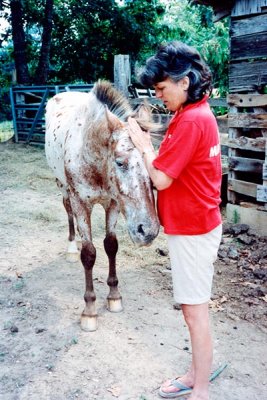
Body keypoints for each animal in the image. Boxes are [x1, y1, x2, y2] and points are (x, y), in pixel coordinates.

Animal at [45, 79, 160, 330]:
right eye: (120, 162)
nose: (148, 231)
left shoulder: (113, 203)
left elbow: (111, 245)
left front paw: (114, 296)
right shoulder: (80, 203)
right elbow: (89, 254)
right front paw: (89, 310)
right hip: (63, 187)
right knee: (67, 211)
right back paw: (71, 247)